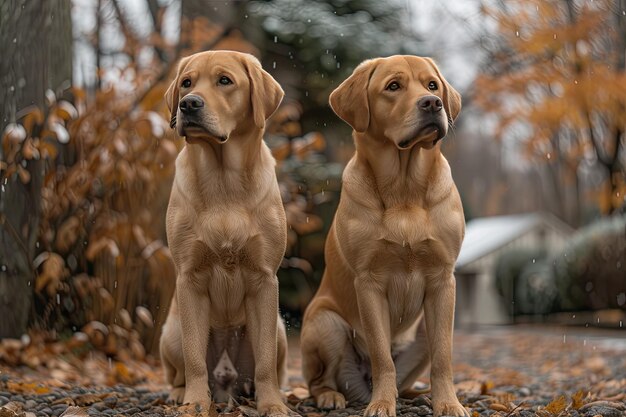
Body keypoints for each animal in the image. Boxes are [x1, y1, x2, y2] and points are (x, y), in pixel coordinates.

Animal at [158, 49, 290, 416]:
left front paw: (272, 404)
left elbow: (265, 362)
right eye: (187, 82)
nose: (188, 104)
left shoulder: (264, 281)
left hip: (280, 331)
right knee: (179, 370)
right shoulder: (189, 279)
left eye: (225, 81)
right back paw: (179, 393)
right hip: (170, 332)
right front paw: (194, 403)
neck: (223, 183)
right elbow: (194, 359)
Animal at [300, 55, 466, 416]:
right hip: (325, 323)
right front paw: (381, 405)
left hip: (424, 330)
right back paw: (332, 397)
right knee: (319, 381)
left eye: (432, 85)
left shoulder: (443, 280)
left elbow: (444, 356)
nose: (432, 103)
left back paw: (417, 395)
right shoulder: (369, 282)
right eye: (393, 86)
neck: (404, 189)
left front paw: (448, 403)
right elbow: (381, 356)